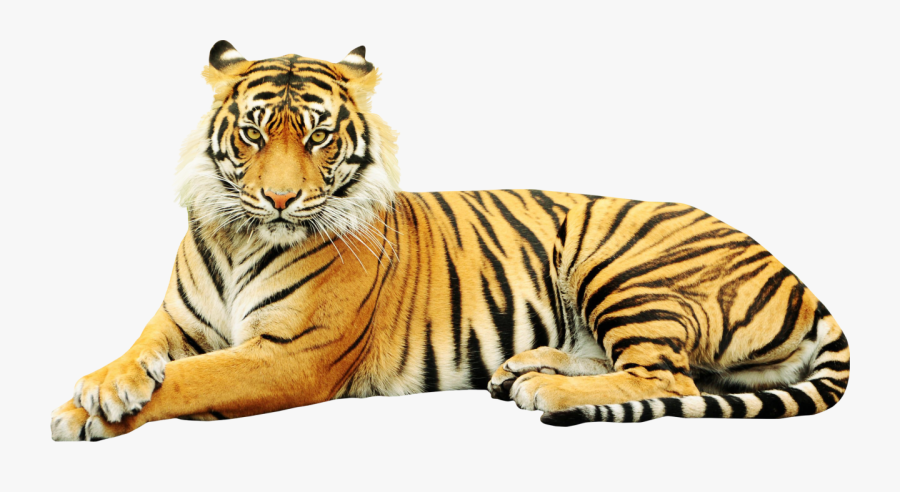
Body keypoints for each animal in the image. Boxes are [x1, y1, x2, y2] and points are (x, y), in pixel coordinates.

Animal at [50, 41, 849, 441]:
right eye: (254, 132)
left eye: (316, 136)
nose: (279, 198)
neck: (242, 235)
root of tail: (800, 280)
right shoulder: (176, 322)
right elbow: (142, 354)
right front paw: (101, 387)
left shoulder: (290, 355)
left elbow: (192, 380)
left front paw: (85, 414)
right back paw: (521, 369)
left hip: (623, 265)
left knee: (670, 378)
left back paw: (544, 388)